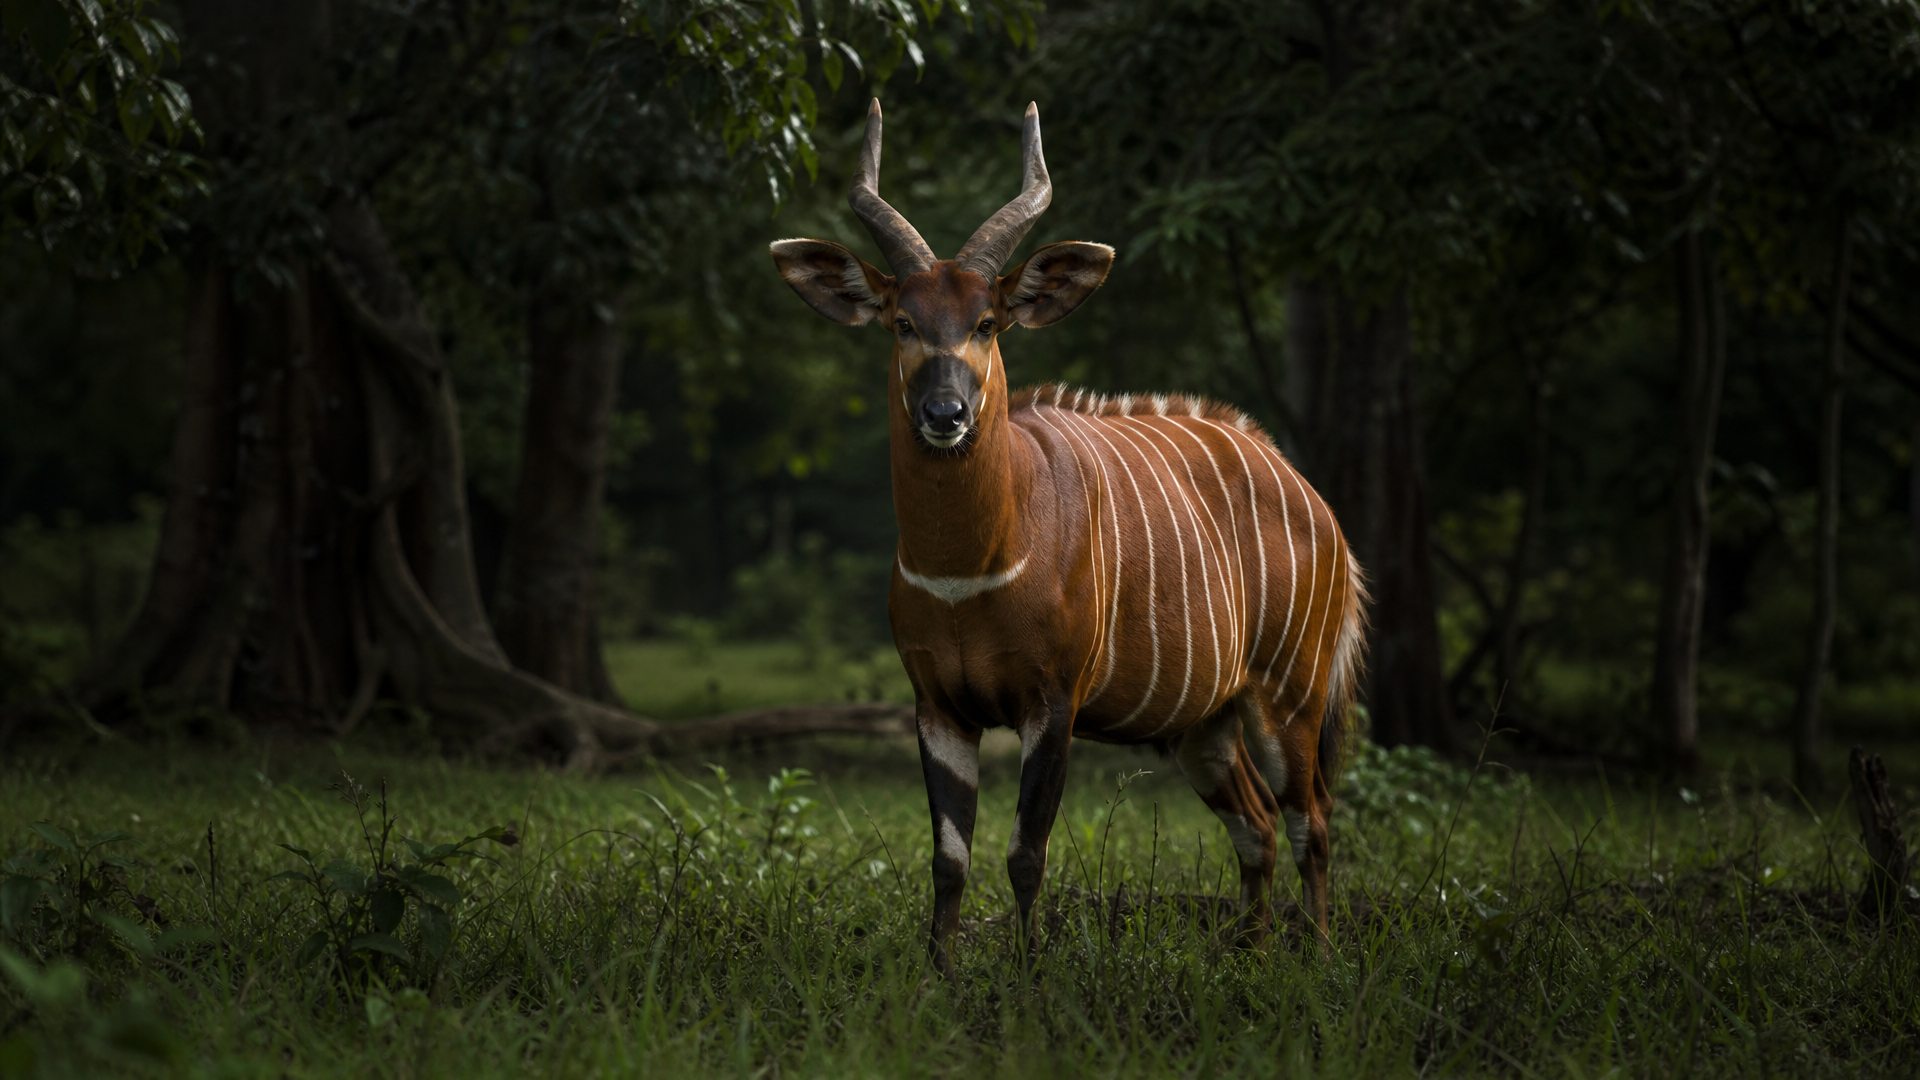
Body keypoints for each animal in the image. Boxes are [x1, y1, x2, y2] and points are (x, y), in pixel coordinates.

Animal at [770, 100, 1367, 971]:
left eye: (987, 322)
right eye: (903, 321)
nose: (946, 413)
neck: (968, 569)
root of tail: (1312, 499)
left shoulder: (1051, 701)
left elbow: (1026, 852)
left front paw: (1028, 975)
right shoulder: (936, 704)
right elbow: (949, 858)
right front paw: (938, 974)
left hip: (1290, 692)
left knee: (1310, 820)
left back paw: (1317, 960)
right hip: (1204, 724)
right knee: (1255, 825)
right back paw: (1248, 959)